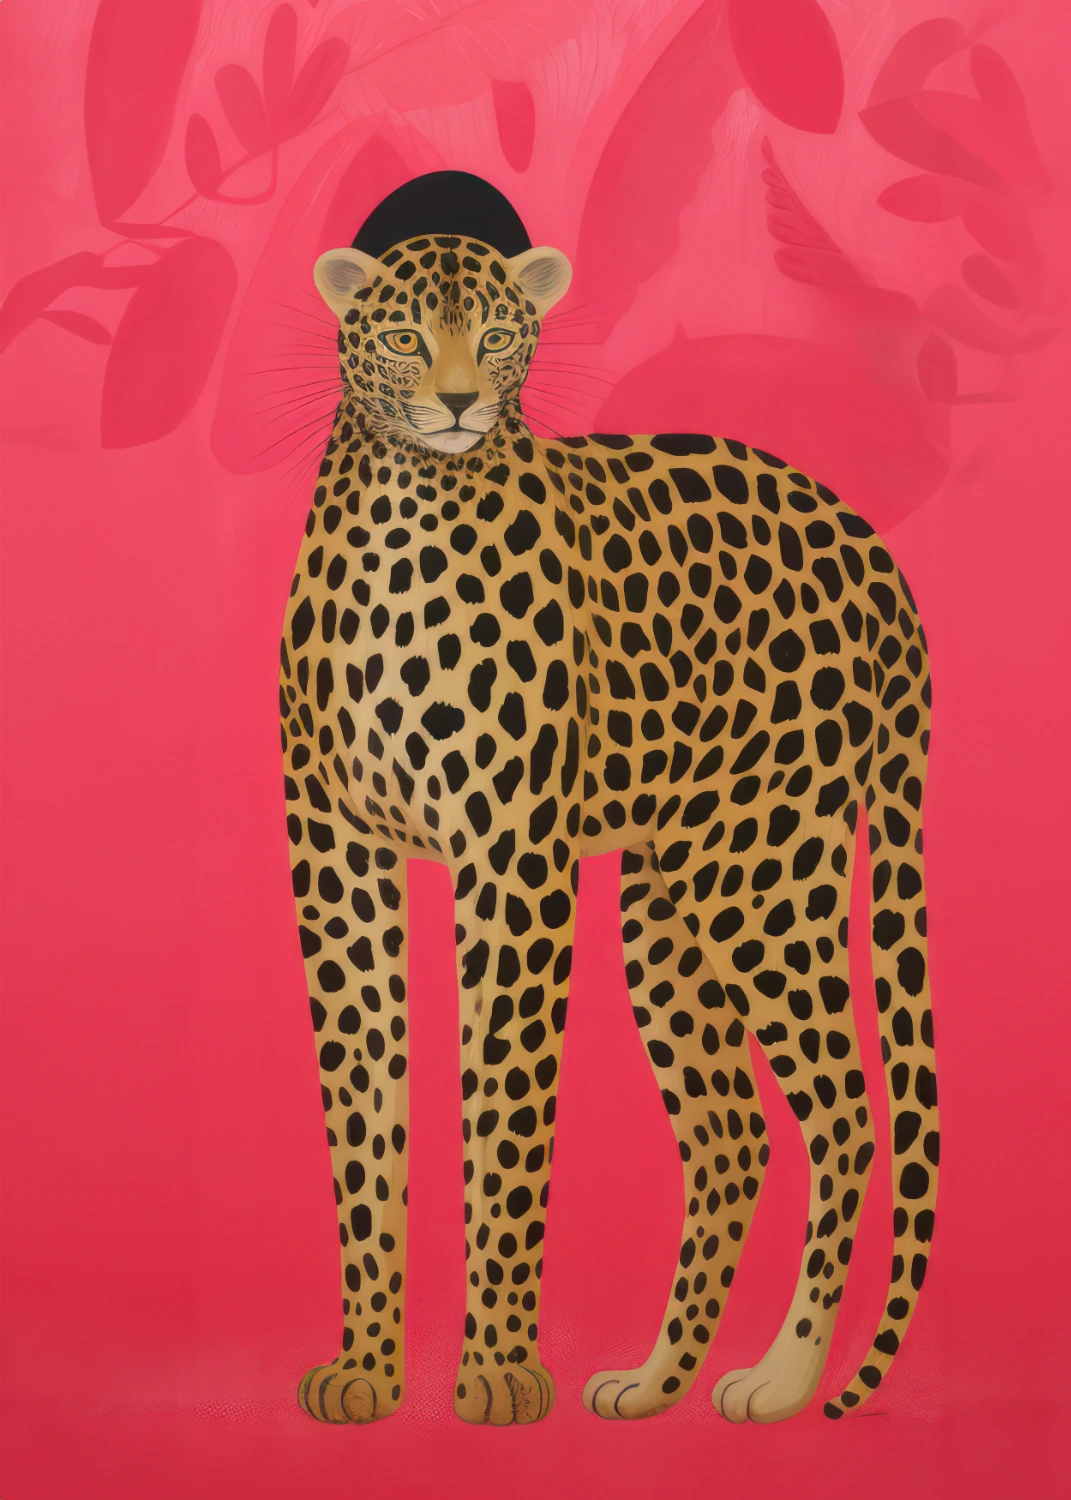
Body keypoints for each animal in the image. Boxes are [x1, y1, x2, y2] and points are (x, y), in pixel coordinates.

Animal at [280, 176, 938, 1429]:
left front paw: (493, 1372)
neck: (404, 508)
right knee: (732, 1137)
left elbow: (504, 1109)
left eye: (497, 333)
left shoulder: (511, 860)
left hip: (766, 878)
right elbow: (362, 1116)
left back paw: (780, 1379)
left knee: (843, 1111)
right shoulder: (337, 860)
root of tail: (864, 540)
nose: (456, 401)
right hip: (669, 900)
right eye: (405, 334)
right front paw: (368, 1370)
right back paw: (654, 1382)